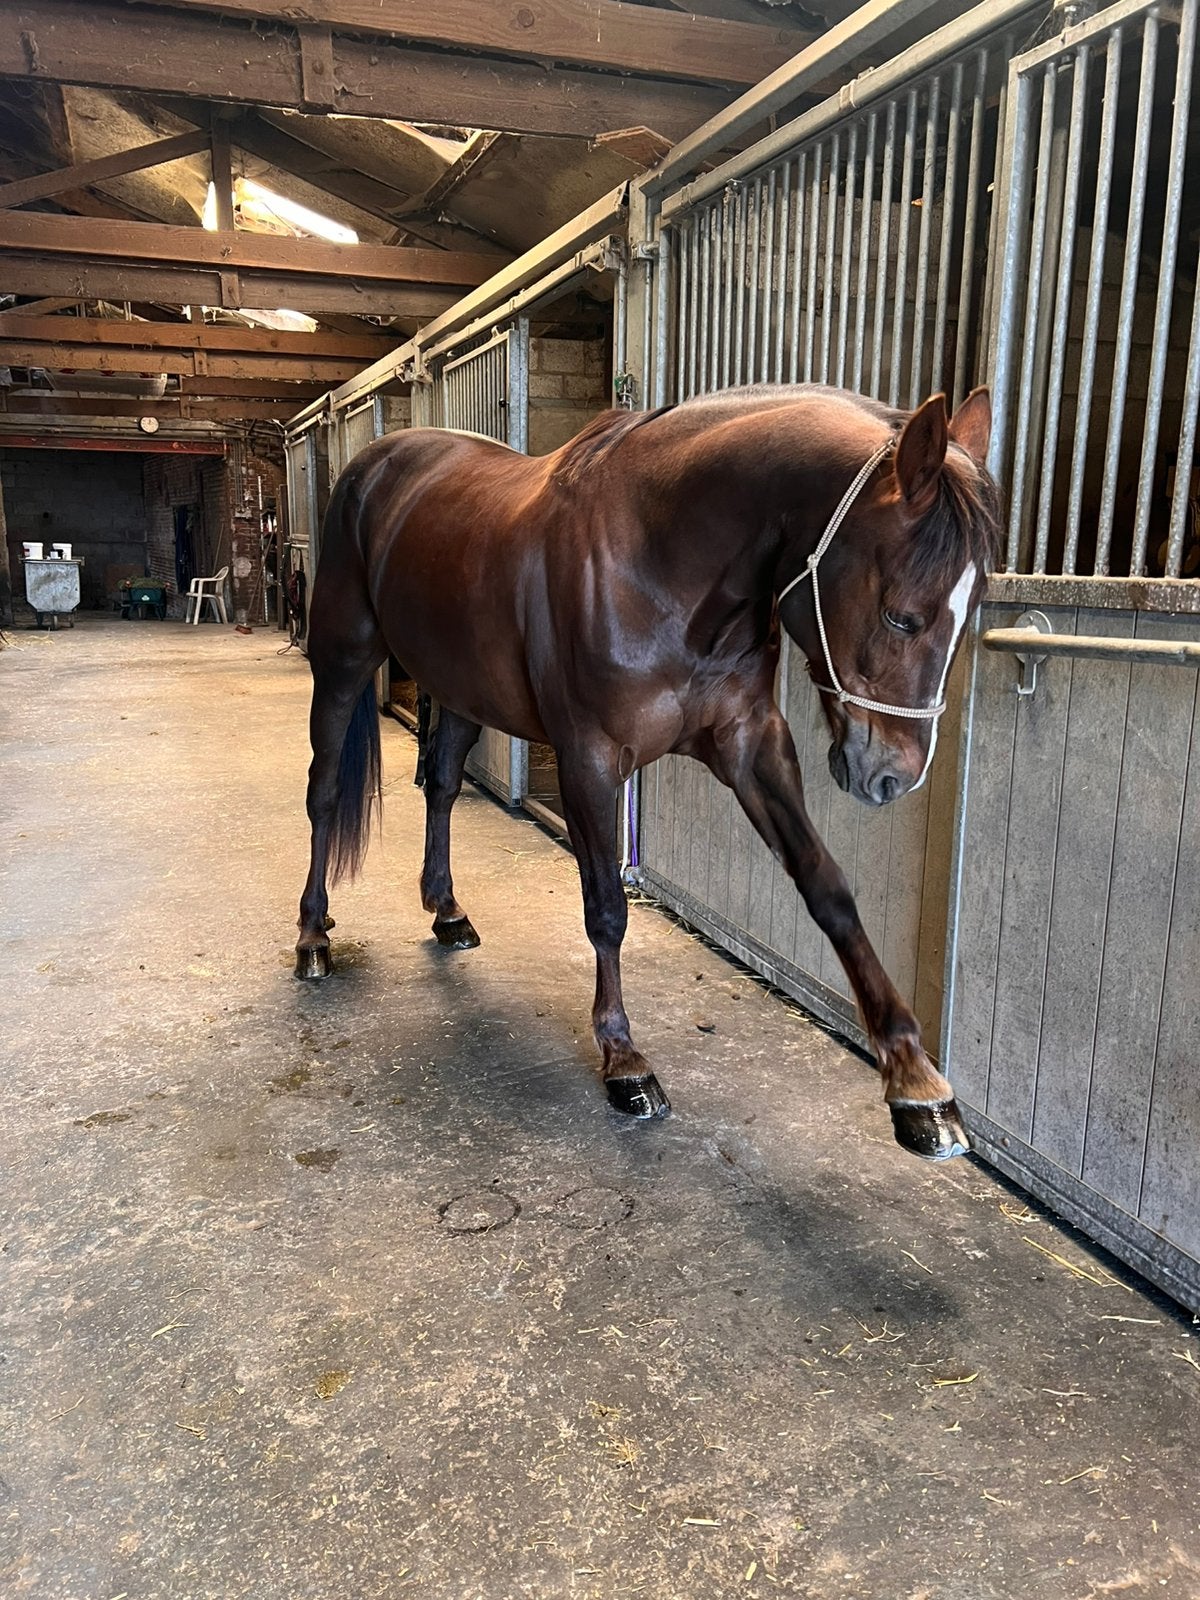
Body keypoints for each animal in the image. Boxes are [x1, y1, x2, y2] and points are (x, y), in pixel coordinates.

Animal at [295, 383, 1000, 1161]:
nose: (890, 776)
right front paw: (624, 1059)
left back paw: (448, 912)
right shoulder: (591, 759)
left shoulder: (750, 744)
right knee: (324, 793)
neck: (658, 555)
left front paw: (916, 1083)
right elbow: (606, 907)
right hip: (342, 661)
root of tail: (375, 465)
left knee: (443, 785)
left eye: (972, 610)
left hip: (457, 686)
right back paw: (313, 937)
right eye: (901, 615)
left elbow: (828, 889)